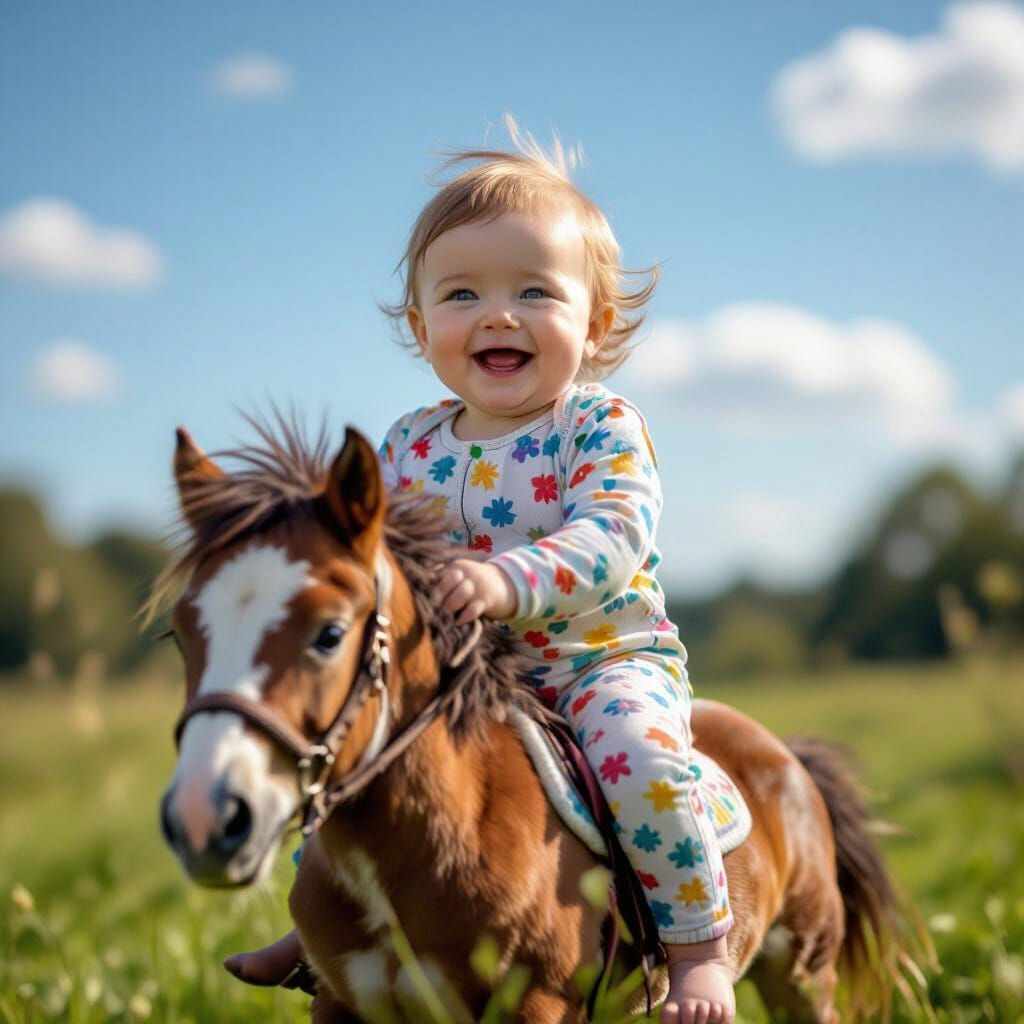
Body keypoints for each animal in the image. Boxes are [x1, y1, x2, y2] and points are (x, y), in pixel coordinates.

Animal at [154, 420, 916, 1023]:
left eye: (329, 634)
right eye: (180, 636)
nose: (205, 819)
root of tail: (786, 755)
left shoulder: (537, 1006)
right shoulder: (342, 1006)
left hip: (801, 975)